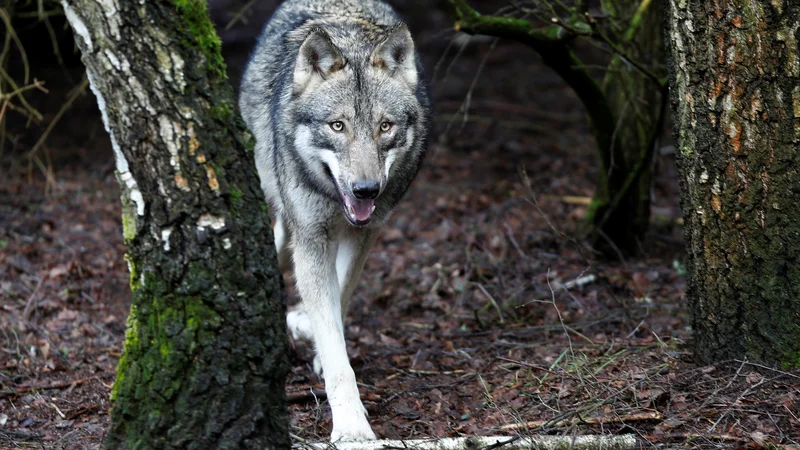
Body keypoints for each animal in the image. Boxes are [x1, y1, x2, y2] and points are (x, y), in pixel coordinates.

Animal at [238, 0, 432, 442]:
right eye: (337, 126)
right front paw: (351, 426)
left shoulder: (366, 233)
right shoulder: (311, 236)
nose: (367, 190)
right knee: (277, 238)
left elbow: (340, 295)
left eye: (384, 127)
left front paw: (315, 338)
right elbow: (332, 339)